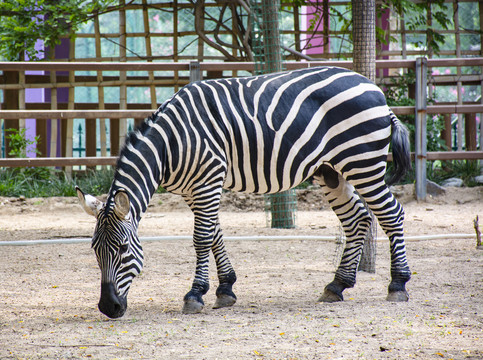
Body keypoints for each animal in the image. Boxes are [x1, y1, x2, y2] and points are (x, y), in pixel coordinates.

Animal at [76, 65, 412, 318]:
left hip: (362, 162)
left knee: (392, 214)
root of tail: (374, 88)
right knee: (357, 219)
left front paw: (195, 295)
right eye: (93, 249)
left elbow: (202, 238)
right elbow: (214, 236)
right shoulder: (193, 189)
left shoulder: (208, 180)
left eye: (123, 249)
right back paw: (337, 285)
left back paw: (398, 285)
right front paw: (225, 289)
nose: (108, 308)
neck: (169, 146)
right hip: (331, 170)